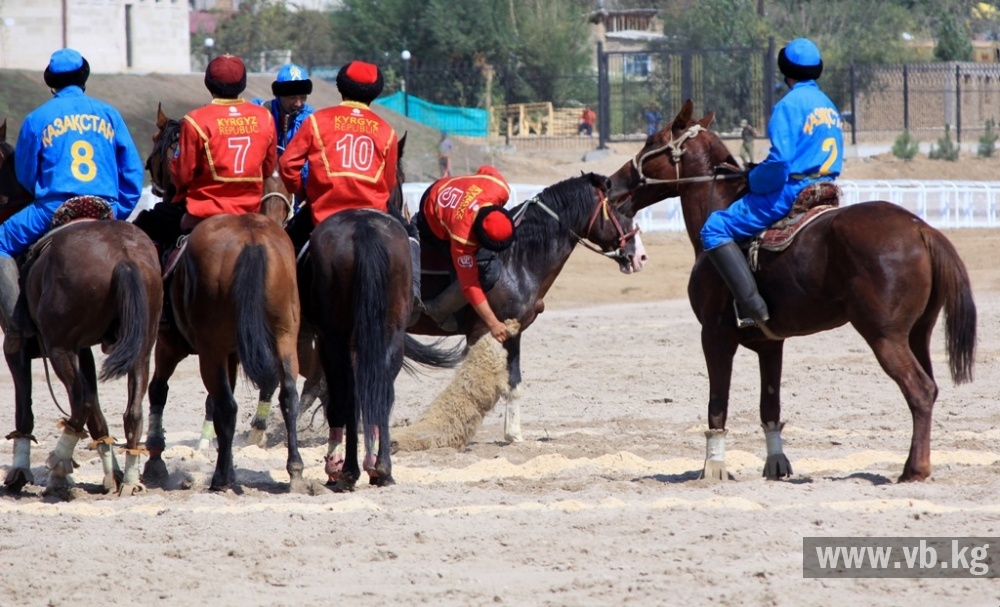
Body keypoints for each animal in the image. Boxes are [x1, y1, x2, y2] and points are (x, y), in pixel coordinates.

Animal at [0, 121, 162, 496]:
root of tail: (124, 255)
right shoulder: (85, 350)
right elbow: (98, 411)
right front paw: (110, 471)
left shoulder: (17, 347)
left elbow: (25, 407)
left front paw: (19, 471)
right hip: (142, 347)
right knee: (131, 411)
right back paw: (129, 478)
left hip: (59, 348)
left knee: (78, 403)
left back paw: (59, 463)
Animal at [143, 108, 302, 494]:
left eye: (161, 147)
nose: (155, 182)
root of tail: (253, 236)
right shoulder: (232, 353)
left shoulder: (169, 345)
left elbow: (158, 390)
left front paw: (155, 460)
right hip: (283, 335)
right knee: (288, 395)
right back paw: (295, 471)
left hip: (210, 350)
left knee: (226, 405)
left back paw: (218, 479)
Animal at [406, 173, 648, 444]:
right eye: (618, 207)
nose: (639, 256)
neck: (514, 260)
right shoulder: (484, 331)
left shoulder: (514, 333)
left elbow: (514, 382)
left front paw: (514, 433)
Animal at [604, 101, 972, 484]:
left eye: (652, 141)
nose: (611, 182)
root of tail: (921, 229)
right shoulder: (771, 344)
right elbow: (770, 406)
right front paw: (776, 464)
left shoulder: (715, 336)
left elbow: (717, 405)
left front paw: (714, 467)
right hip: (918, 333)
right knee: (930, 388)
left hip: (885, 336)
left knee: (919, 390)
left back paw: (914, 469)